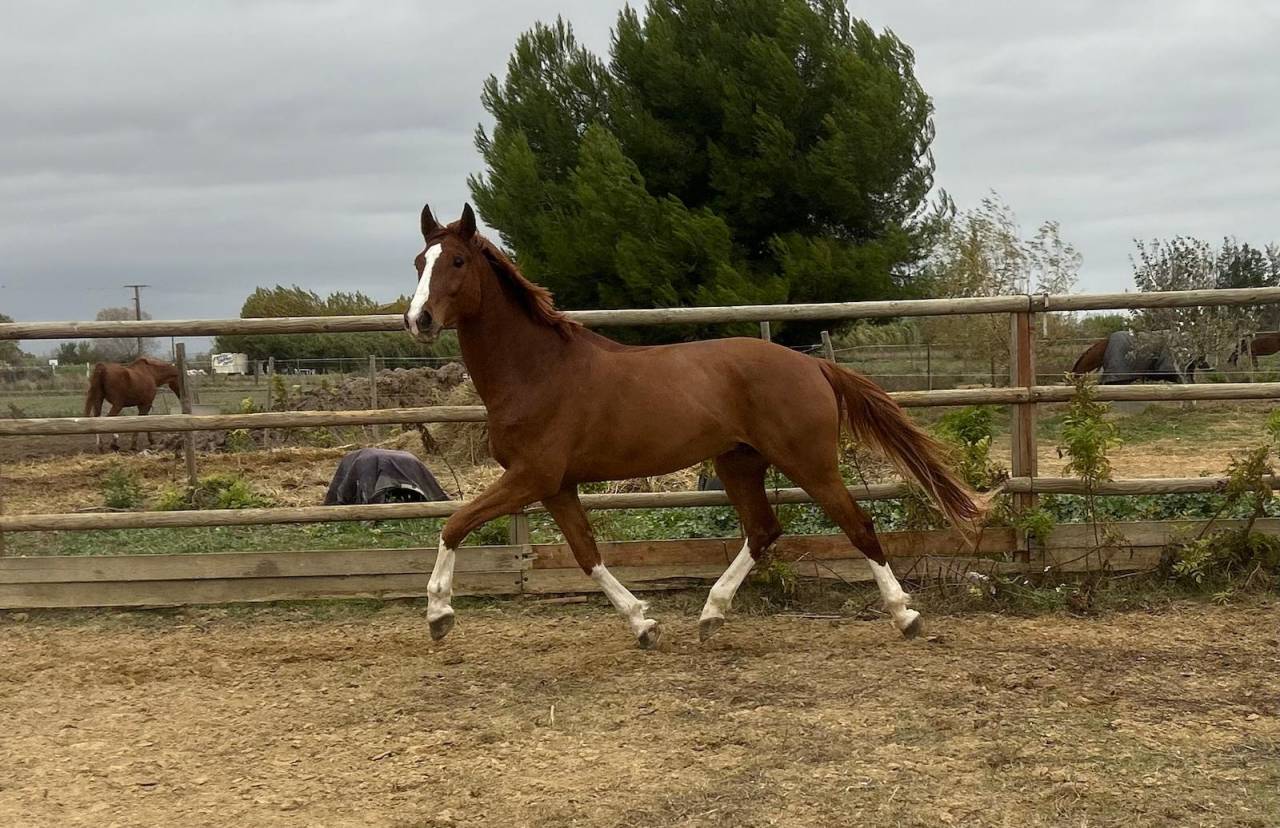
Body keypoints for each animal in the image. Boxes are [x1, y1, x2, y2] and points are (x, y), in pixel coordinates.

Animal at [403, 203, 983, 648]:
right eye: (417, 262)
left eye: (457, 260)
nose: (418, 321)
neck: (538, 370)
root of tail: (812, 365)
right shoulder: (555, 486)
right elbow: (587, 554)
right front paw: (643, 624)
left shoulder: (532, 477)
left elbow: (454, 524)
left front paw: (439, 616)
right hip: (738, 463)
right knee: (763, 530)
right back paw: (711, 615)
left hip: (809, 462)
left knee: (856, 524)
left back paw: (906, 616)